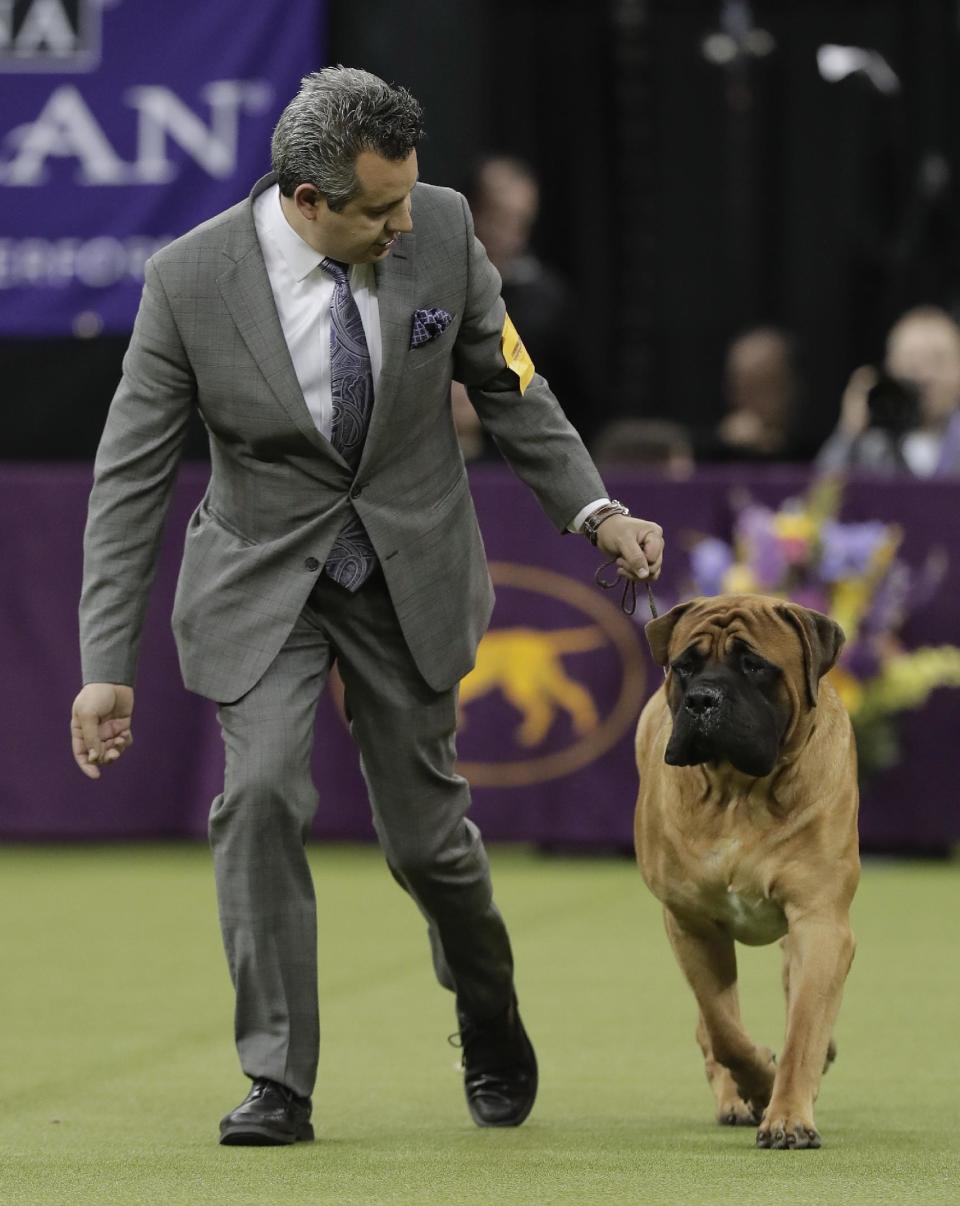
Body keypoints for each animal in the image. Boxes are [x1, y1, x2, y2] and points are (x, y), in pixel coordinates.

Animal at [631, 593, 858, 1148]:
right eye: (685, 666)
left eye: (754, 665)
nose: (702, 700)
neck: (742, 791)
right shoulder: (691, 923)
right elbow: (724, 1030)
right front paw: (760, 1084)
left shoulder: (820, 921)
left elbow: (804, 1026)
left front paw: (789, 1114)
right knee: (710, 1029)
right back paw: (736, 1099)